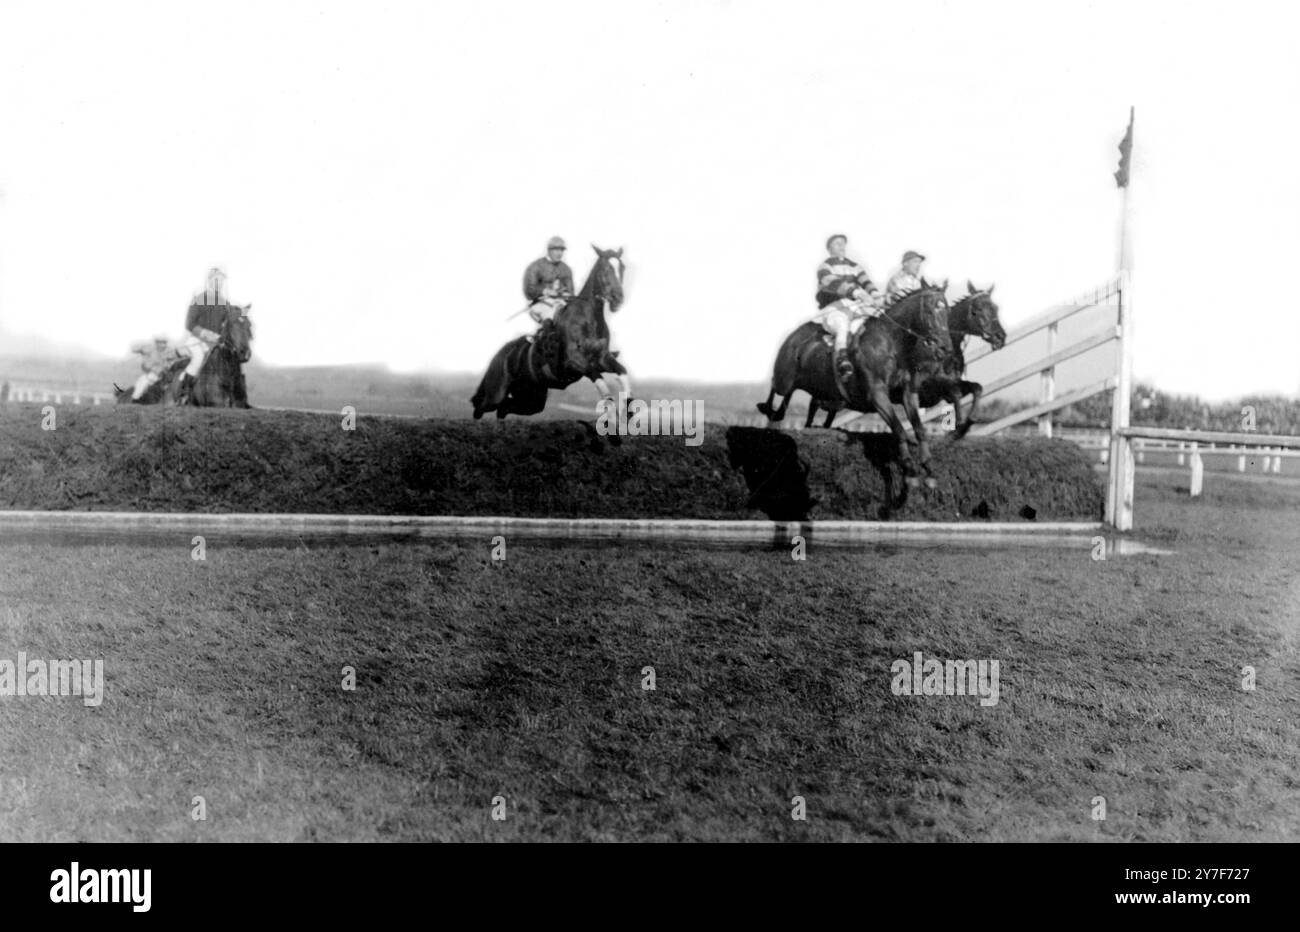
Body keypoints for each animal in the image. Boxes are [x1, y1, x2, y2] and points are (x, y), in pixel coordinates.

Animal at [473, 246, 629, 421]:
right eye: (606, 269)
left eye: (623, 268)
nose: (618, 299)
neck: (588, 320)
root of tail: (502, 353)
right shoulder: (574, 362)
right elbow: (600, 381)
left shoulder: (602, 359)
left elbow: (623, 373)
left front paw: (629, 410)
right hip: (496, 392)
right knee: (481, 406)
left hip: (532, 398)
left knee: (505, 408)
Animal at [806, 279, 1008, 436]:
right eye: (976, 311)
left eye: (995, 308)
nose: (1000, 337)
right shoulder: (928, 387)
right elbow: (955, 393)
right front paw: (958, 425)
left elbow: (975, 388)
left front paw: (965, 423)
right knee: (813, 409)